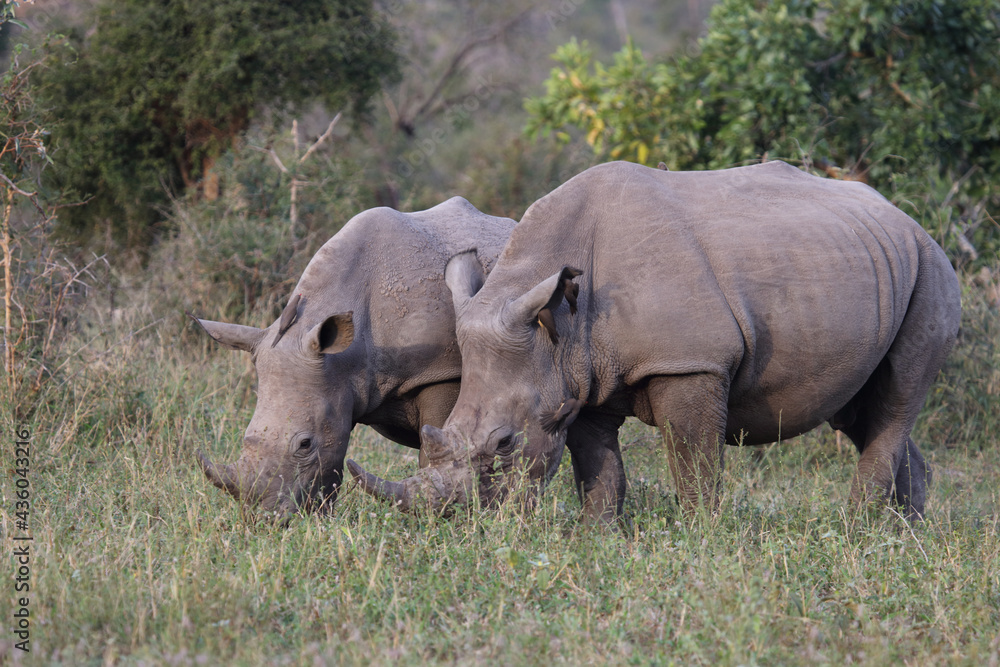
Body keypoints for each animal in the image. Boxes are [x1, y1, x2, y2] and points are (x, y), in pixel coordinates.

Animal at [192, 198, 514, 518]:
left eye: (305, 444)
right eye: (246, 437)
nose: (263, 519)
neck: (346, 355)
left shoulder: (441, 372)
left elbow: (434, 450)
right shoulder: (340, 381)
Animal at [348, 161, 962, 522]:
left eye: (503, 444)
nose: (463, 525)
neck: (559, 323)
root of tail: (906, 217)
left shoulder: (690, 362)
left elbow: (693, 460)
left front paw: (702, 537)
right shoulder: (578, 373)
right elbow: (597, 465)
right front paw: (597, 536)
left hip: (930, 268)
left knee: (897, 397)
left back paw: (857, 529)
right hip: (871, 263)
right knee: (861, 410)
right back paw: (901, 534)